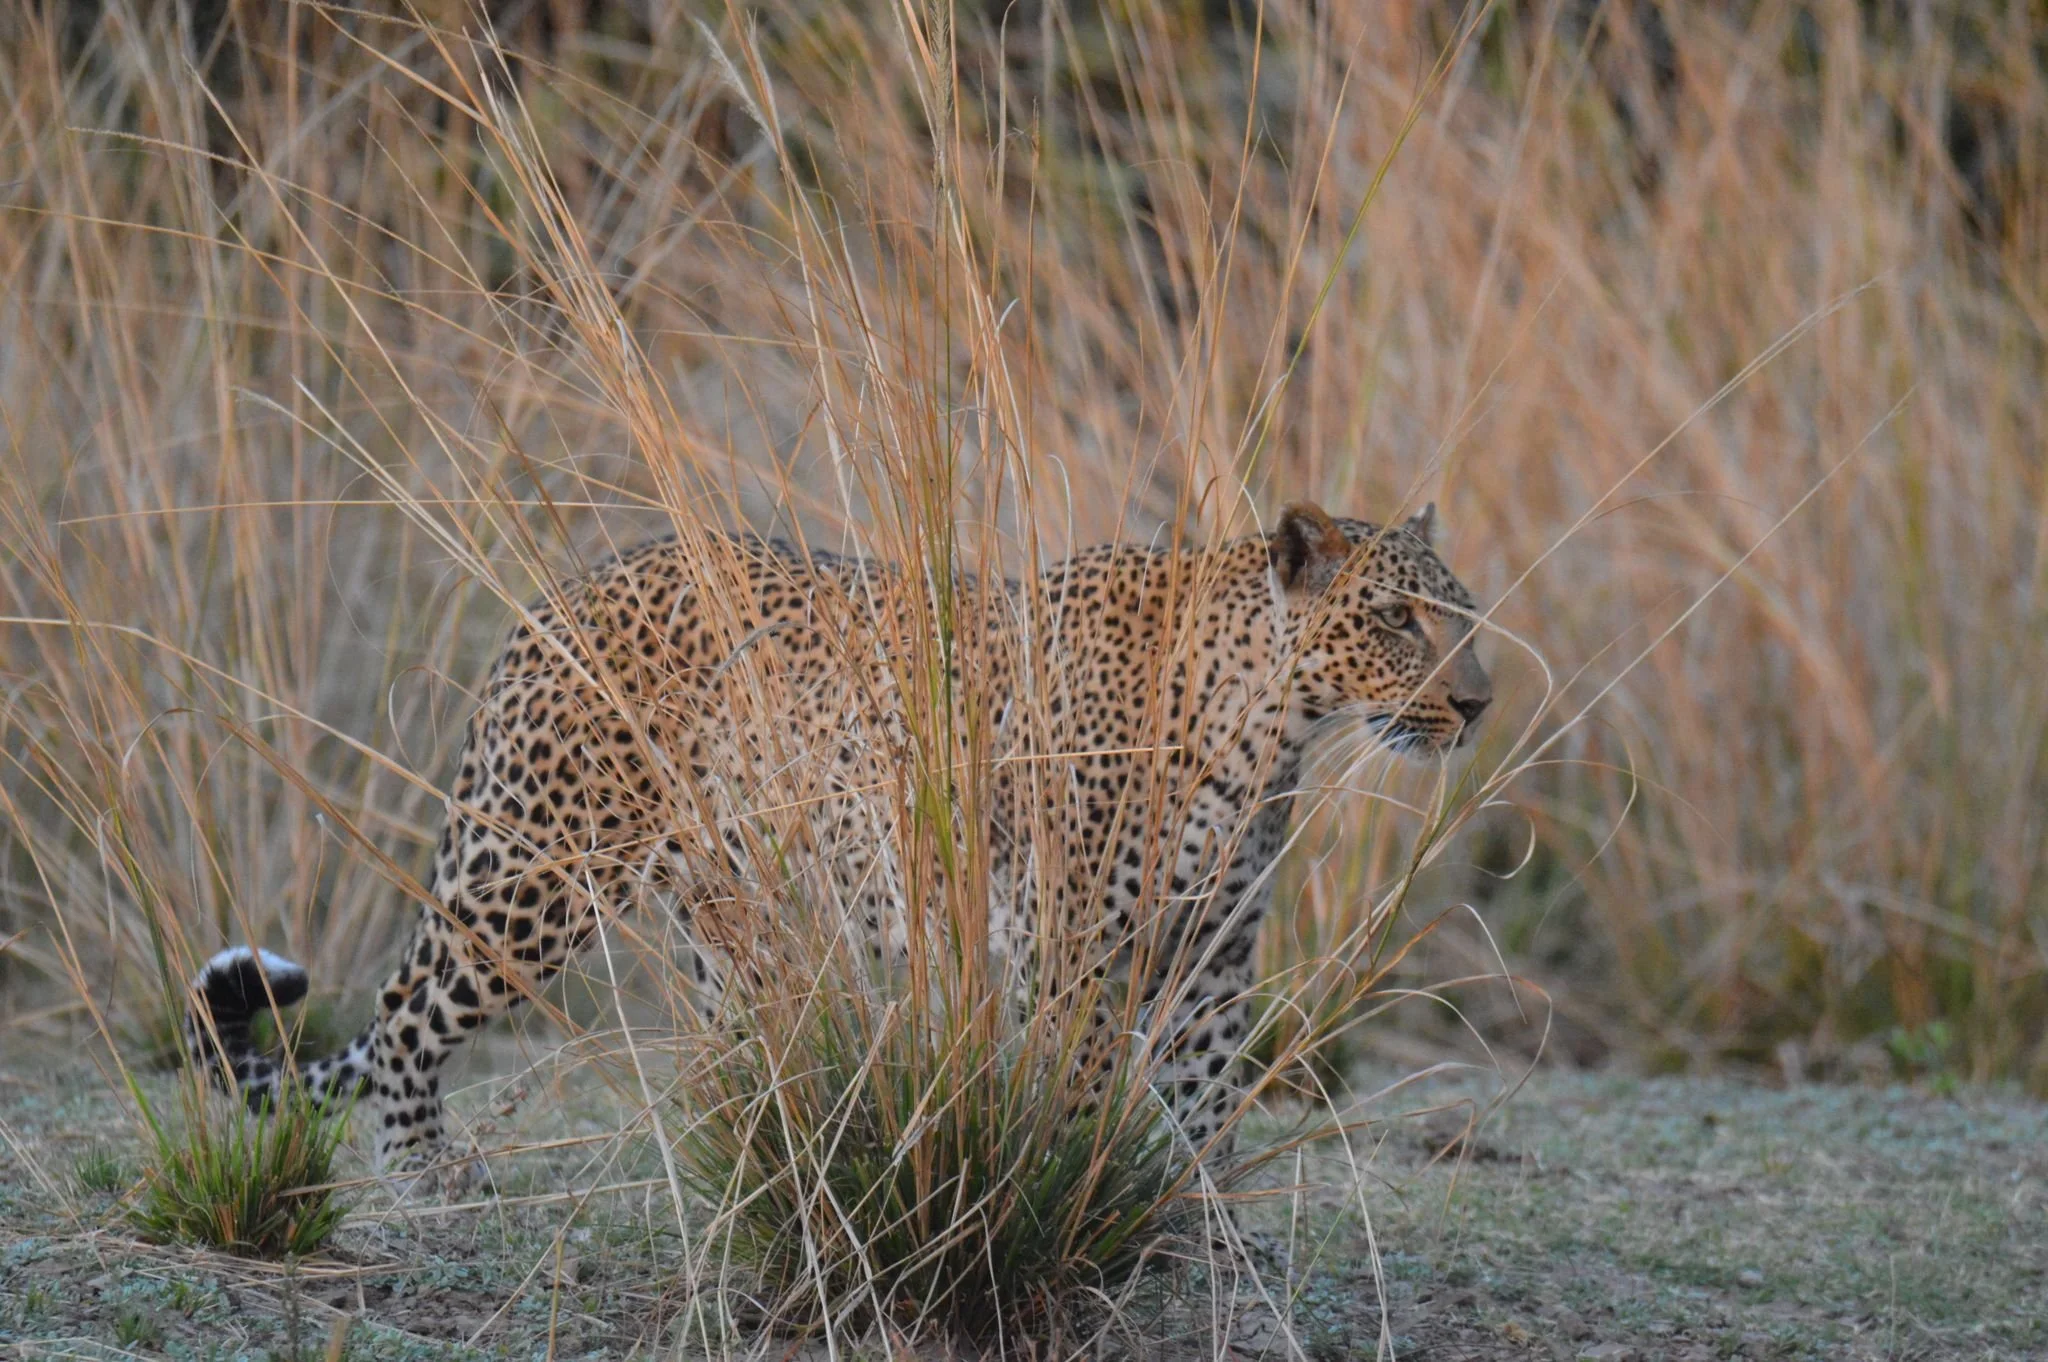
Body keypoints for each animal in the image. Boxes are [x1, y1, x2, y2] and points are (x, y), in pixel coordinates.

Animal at [186, 501, 1491, 1179]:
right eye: (1394, 619)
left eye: (1464, 614)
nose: (1476, 704)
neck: (1268, 731)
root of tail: (558, 592)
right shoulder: (1071, 954)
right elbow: (1079, 1102)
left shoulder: (1210, 962)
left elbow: (1207, 1109)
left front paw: (1194, 1237)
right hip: (532, 872)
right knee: (406, 1015)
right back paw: (427, 1181)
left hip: (724, 908)